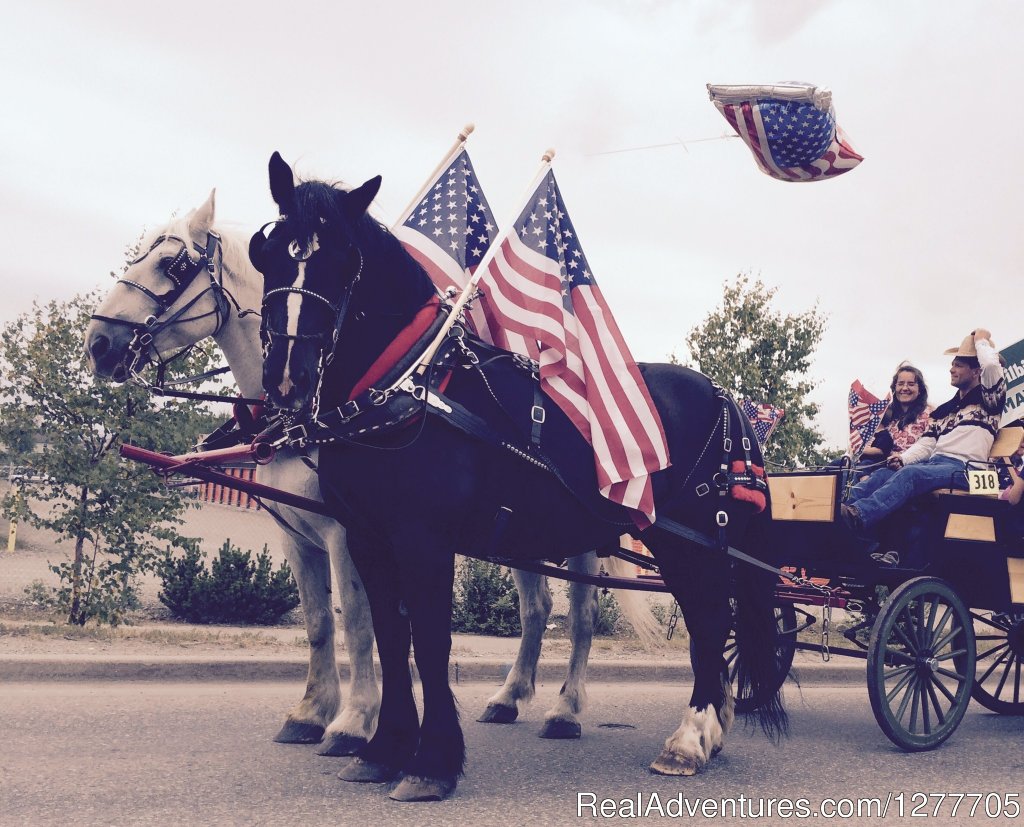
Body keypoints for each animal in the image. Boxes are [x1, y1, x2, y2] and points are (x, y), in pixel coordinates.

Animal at [86, 192, 663, 741]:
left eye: (172, 264)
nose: (98, 344)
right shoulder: (297, 537)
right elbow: (321, 623)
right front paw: (313, 712)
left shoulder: (349, 532)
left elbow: (360, 623)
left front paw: (355, 719)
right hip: (524, 531)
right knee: (537, 608)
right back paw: (509, 697)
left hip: (580, 535)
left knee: (583, 617)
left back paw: (566, 710)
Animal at [247, 151, 782, 798]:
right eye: (271, 253)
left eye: (344, 259)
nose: (288, 377)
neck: (406, 387)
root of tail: (725, 397)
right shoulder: (367, 536)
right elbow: (391, 637)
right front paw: (385, 747)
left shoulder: (422, 538)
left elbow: (429, 640)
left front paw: (432, 761)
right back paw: (708, 731)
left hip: (690, 543)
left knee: (707, 622)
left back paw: (688, 737)